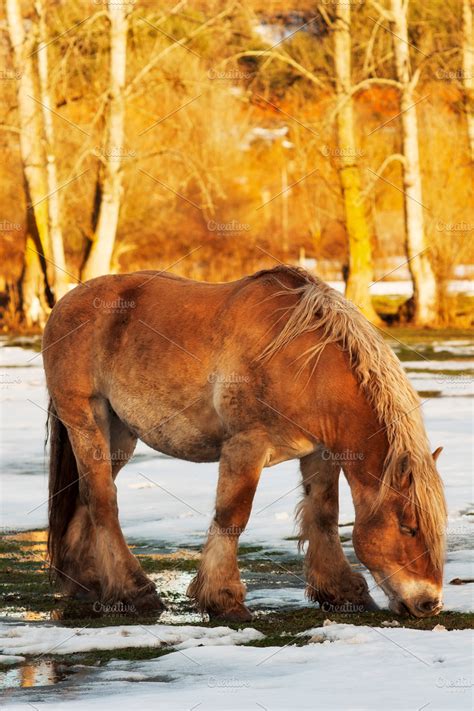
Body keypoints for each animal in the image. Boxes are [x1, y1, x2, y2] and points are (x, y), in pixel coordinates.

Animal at [42, 264, 446, 620]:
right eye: (408, 527)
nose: (429, 603)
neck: (303, 364)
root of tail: (64, 304)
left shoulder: (321, 454)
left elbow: (324, 515)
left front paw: (343, 593)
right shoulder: (246, 447)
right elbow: (232, 516)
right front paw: (223, 600)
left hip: (120, 434)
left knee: (87, 496)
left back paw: (88, 581)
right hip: (86, 420)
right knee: (102, 499)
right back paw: (133, 592)